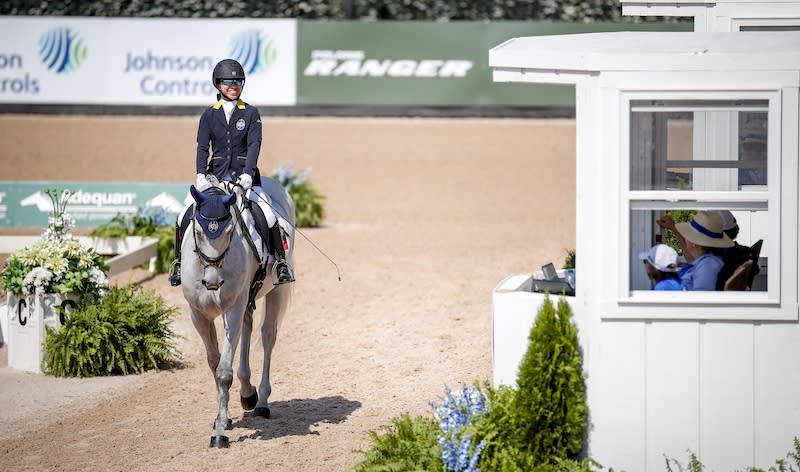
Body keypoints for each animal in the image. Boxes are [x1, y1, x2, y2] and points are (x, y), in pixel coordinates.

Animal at [180, 179, 296, 448]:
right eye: (198, 232)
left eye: (229, 231)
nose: (212, 282)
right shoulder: (198, 314)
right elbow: (214, 363)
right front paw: (223, 418)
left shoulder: (232, 307)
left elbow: (224, 372)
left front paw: (219, 433)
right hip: (245, 299)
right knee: (248, 327)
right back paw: (247, 393)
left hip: (275, 290)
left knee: (267, 336)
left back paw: (261, 402)